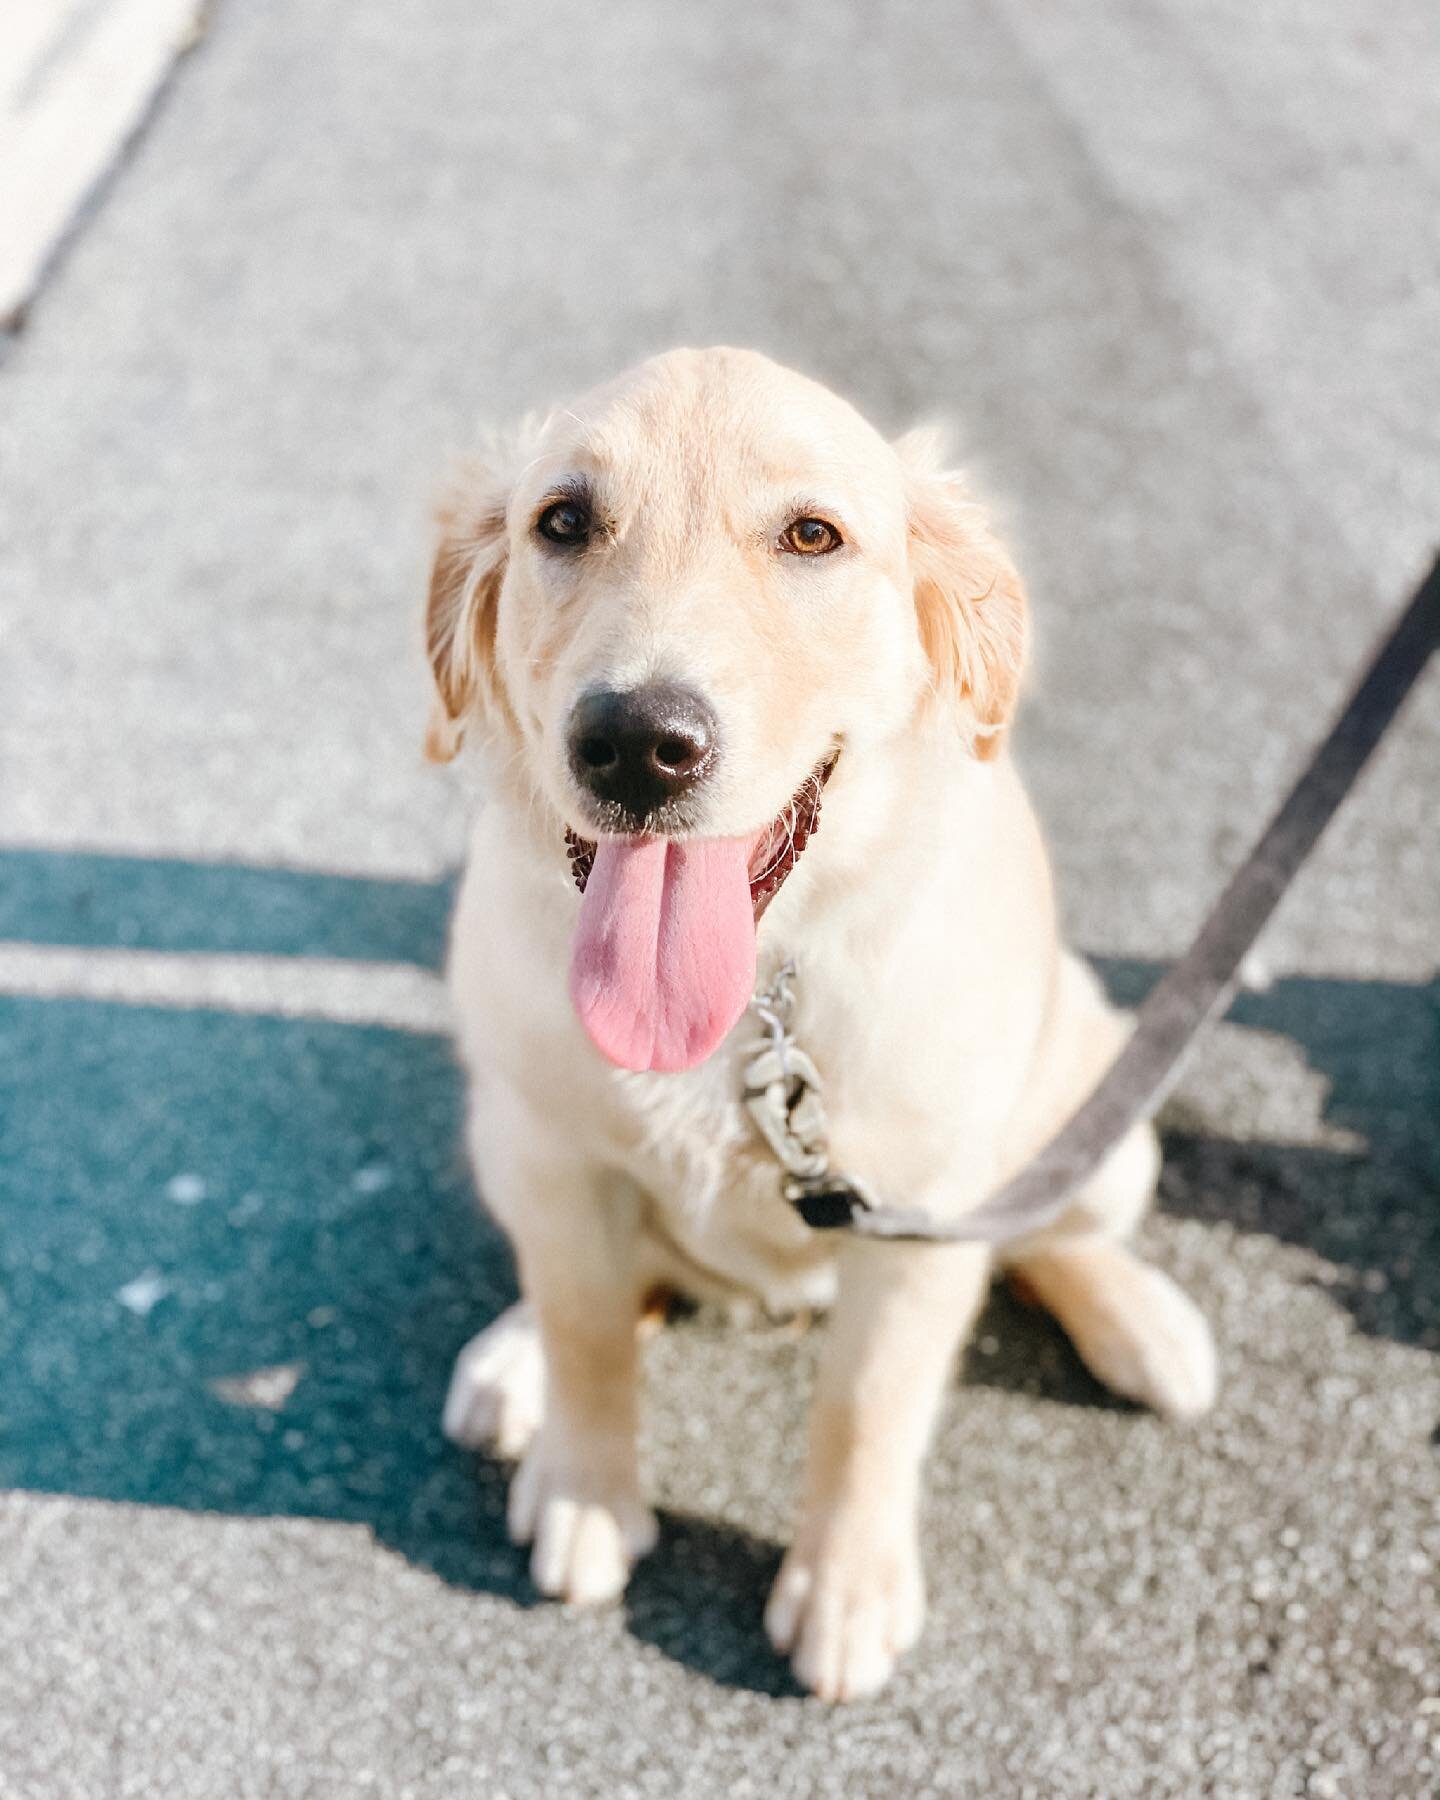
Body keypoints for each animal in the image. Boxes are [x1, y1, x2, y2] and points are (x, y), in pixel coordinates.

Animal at [428, 347, 1216, 1699]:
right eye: (563, 523)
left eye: (811, 535)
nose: (636, 744)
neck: (755, 998)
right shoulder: (547, 1150)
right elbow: (588, 1328)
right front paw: (588, 1489)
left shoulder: (920, 1208)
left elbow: (869, 1405)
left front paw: (843, 1588)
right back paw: (511, 1355)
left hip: (1101, 1119)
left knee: (1052, 1232)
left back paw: (1141, 1323)